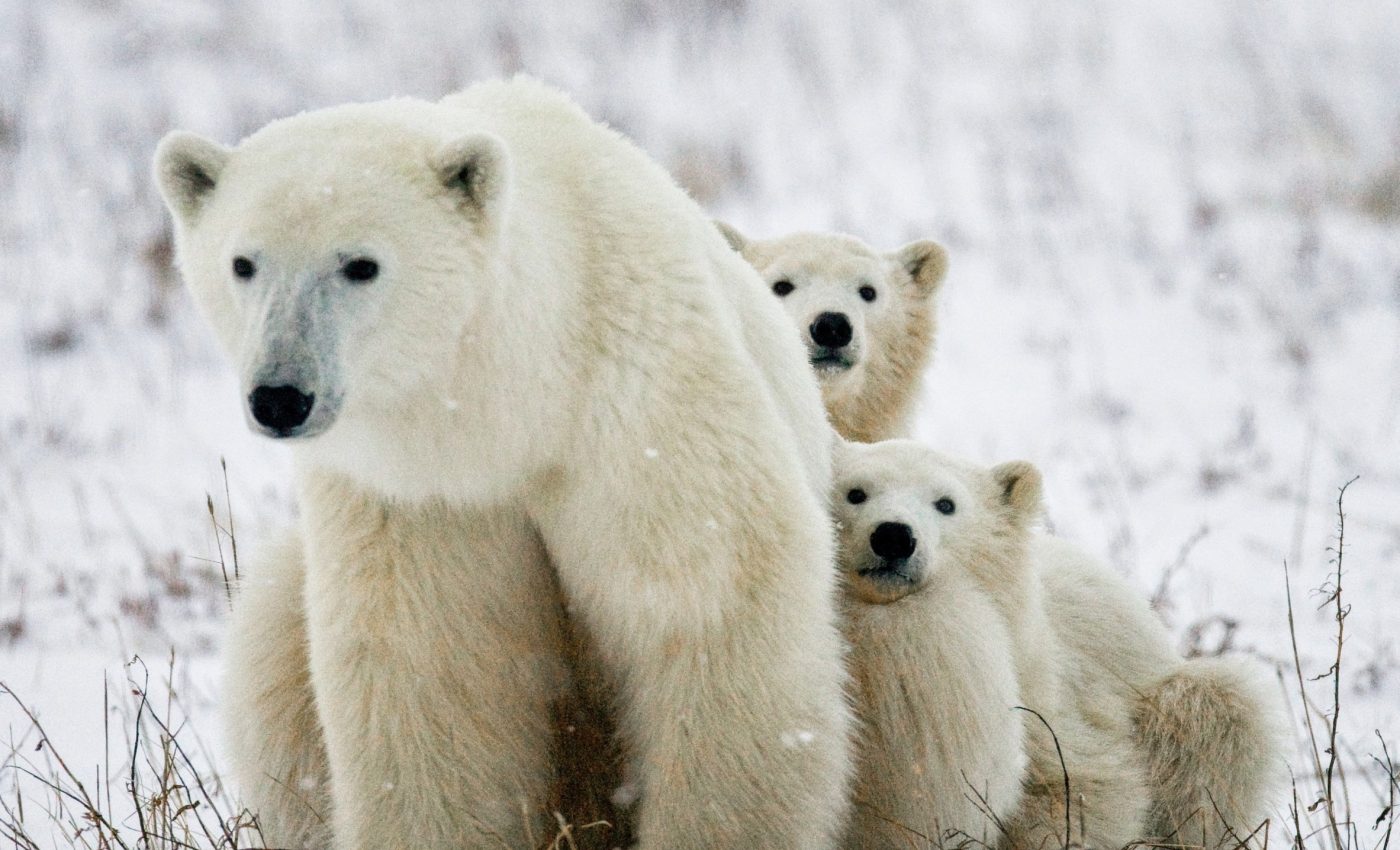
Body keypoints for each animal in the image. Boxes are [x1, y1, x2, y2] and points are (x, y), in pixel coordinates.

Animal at [154, 77, 852, 850]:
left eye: (360, 264)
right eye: (243, 263)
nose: (280, 395)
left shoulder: (641, 401)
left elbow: (708, 602)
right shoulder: (425, 495)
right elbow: (433, 668)